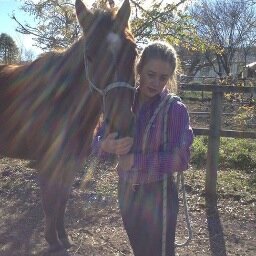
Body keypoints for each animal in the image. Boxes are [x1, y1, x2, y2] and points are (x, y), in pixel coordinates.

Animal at [0, 0, 137, 252]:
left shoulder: (72, 162)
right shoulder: (48, 164)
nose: (122, 122)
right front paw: (52, 240)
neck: (62, 101)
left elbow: (62, 201)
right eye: (89, 55)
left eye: (133, 52)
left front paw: (63, 237)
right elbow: (50, 202)